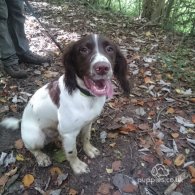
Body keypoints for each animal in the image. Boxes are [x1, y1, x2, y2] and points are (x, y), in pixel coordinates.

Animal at [1, 34, 130, 174]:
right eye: (83, 49)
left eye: (110, 49)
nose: (102, 68)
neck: (85, 95)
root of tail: (22, 122)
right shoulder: (69, 134)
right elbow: (72, 152)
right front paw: (77, 166)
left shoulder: (88, 123)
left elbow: (86, 137)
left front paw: (89, 149)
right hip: (35, 137)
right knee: (32, 149)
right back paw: (41, 157)